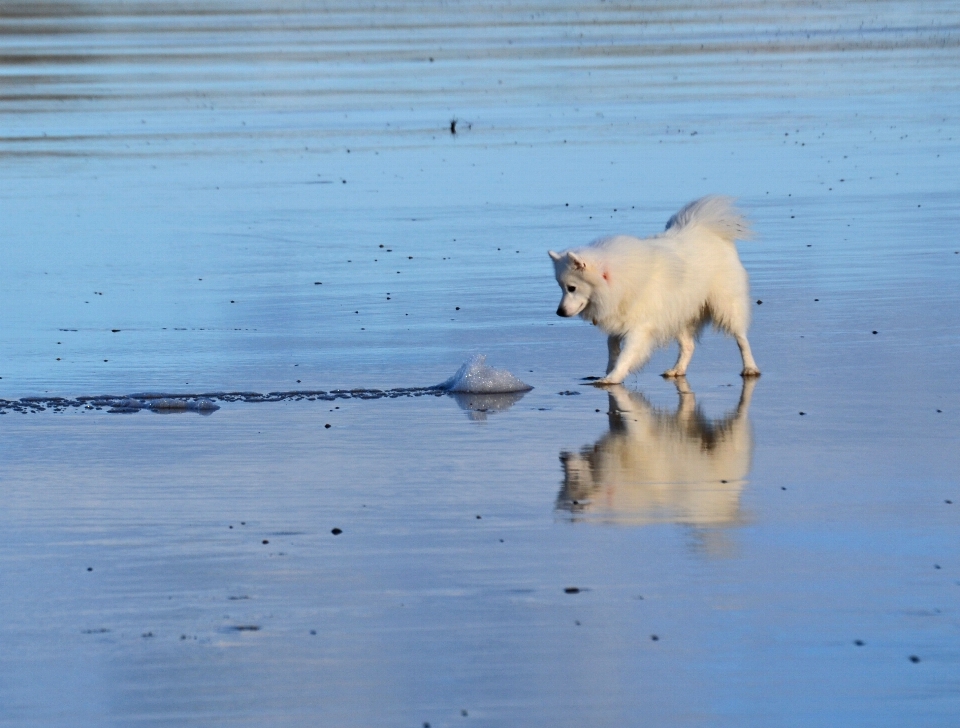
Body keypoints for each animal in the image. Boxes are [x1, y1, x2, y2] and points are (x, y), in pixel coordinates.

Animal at [552, 196, 760, 384]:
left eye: (572, 288)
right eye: (561, 287)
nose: (559, 312)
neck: (619, 281)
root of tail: (704, 228)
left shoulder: (640, 328)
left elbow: (626, 355)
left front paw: (612, 378)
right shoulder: (620, 320)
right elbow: (612, 346)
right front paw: (609, 369)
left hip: (725, 305)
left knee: (741, 338)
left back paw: (750, 368)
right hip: (679, 313)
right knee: (689, 346)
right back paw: (677, 370)